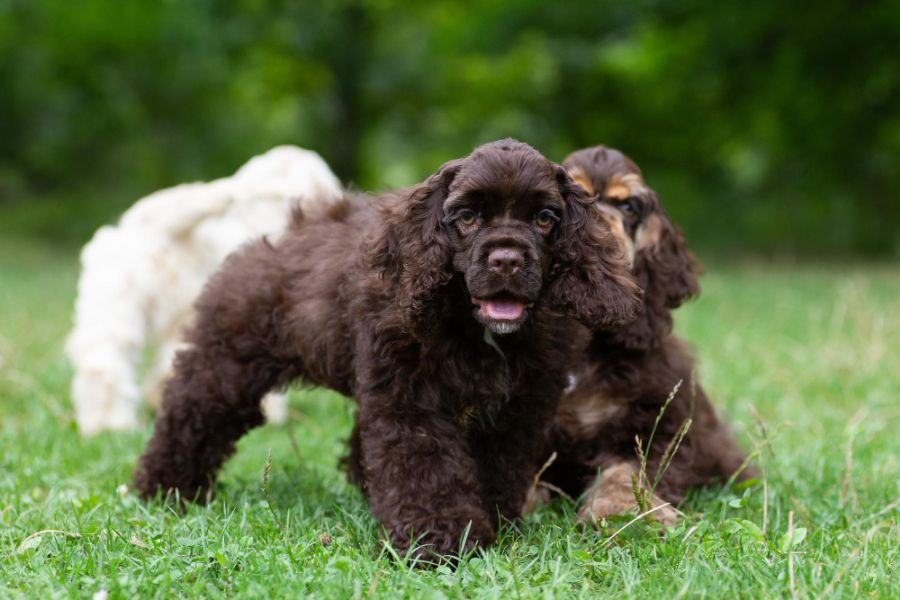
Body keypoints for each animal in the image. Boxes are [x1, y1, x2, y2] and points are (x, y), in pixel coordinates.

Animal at [134, 137, 640, 556]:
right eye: (467, 217)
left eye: (544, 218)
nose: (507, 260)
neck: (476, 328)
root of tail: (276, 238)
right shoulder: (410, 396)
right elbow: (423, 466)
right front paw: (436, 541)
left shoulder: (517, 406)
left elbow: (497, 466)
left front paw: (493, 525)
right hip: (228, 363)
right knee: (191, 414)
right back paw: (162, 489)